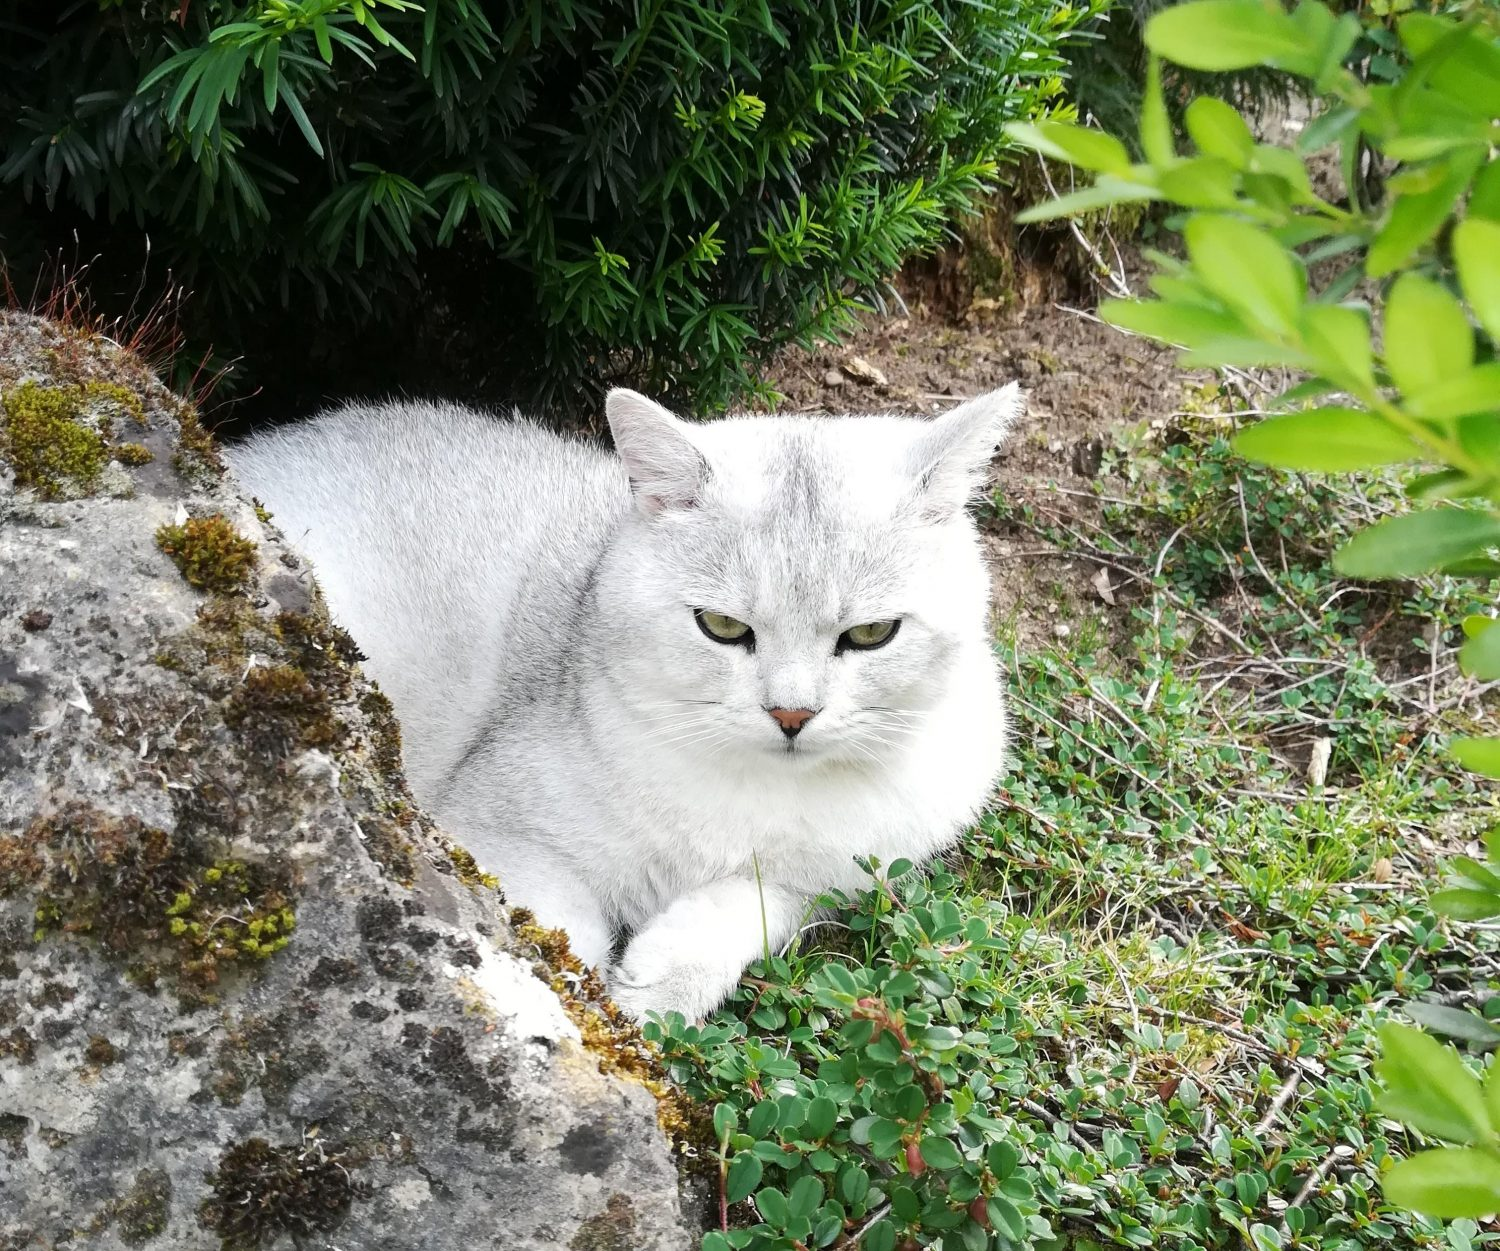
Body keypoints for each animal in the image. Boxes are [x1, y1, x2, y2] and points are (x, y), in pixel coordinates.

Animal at [225, 384, 1020, 1020]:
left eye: (871, 634)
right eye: (721, 627)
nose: (791, 715)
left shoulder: (833, 877)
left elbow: (754, 901)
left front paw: (658, 986)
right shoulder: (488, 829)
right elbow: (557, 927)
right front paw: (571, 995)